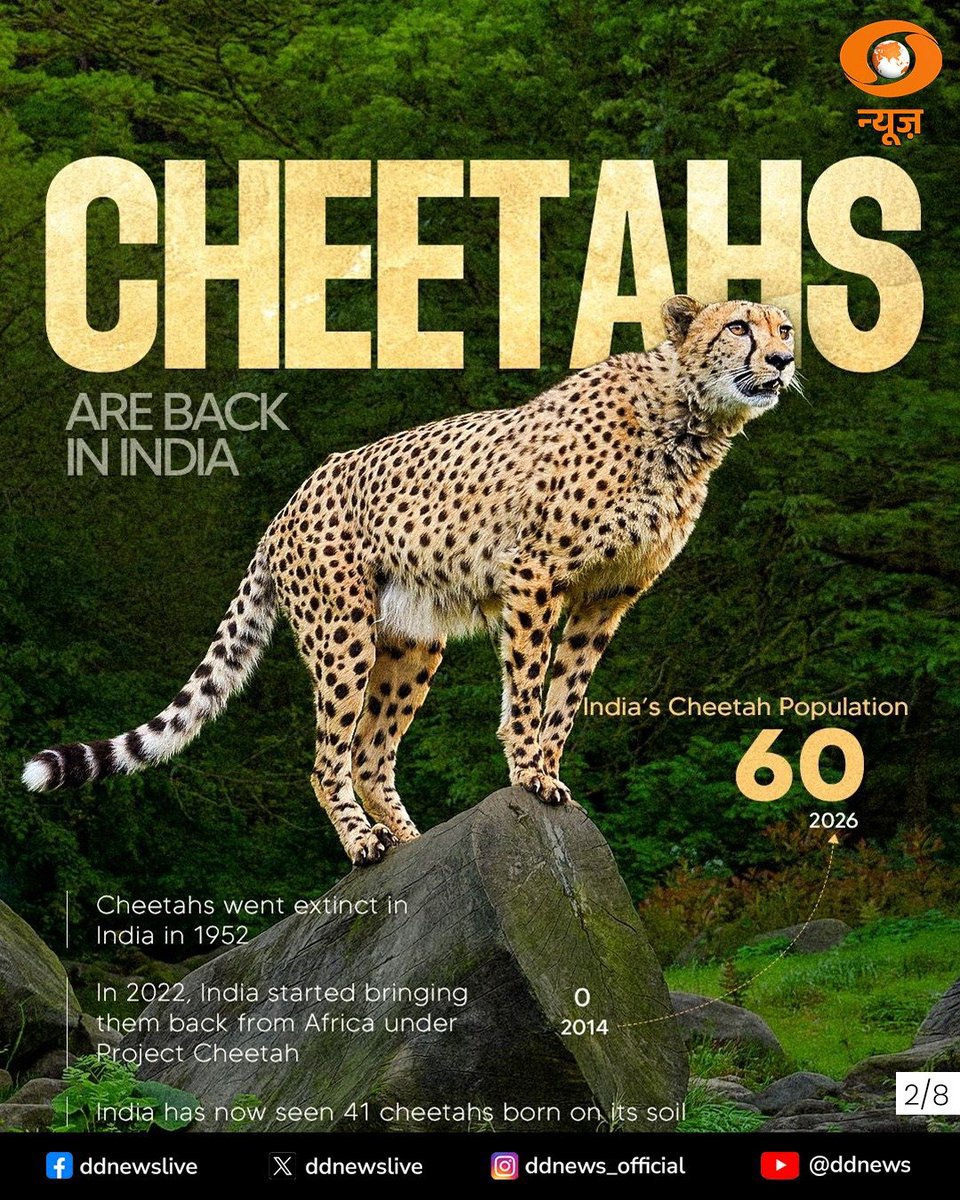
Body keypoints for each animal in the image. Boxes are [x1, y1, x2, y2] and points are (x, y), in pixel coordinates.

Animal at [23, 295, 796, 866]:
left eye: (784, 327)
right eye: (738, 326)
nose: (784, 360)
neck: (688, 417)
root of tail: (286, 508)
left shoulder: (607, 597)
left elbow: (566, 696)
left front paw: (548, 771)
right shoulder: (535, 572)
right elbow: (527, 687)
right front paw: (526, 772)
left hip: (412, 642)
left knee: (369, 753)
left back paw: (411, 840)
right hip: (343, 633)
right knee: (328, 757)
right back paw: (364, 845)